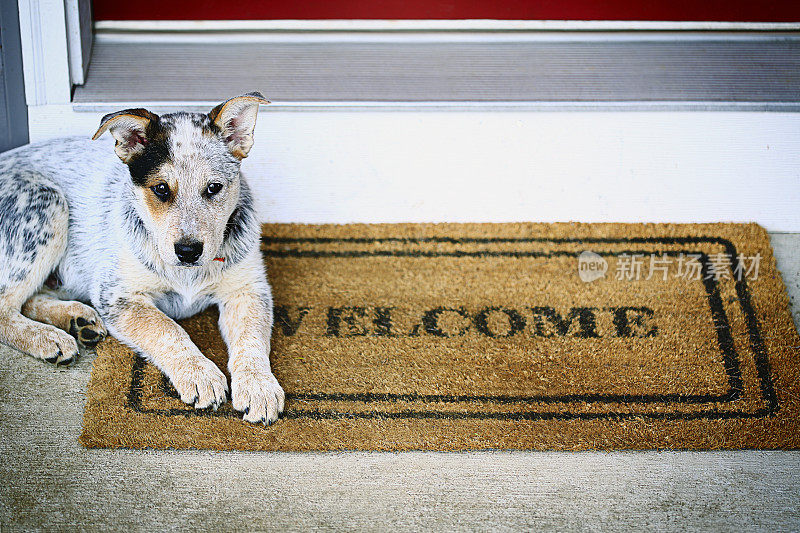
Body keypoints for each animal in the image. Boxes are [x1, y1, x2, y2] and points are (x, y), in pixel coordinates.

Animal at [0, 92, 284, 424]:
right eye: (161, 188)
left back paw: (77, 319)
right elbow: (166, 328)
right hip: (47, 202)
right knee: (5, 306)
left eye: (214, 188)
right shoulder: (117, 294)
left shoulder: (248, 289)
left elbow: (251, 339)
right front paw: (200, 374)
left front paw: (259, 386)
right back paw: (48, 338)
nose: (188, 251)